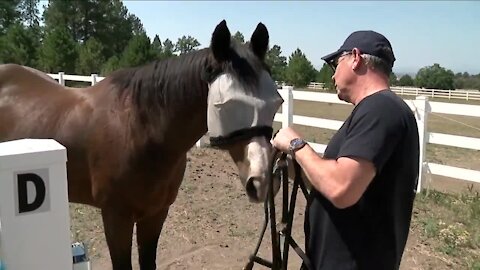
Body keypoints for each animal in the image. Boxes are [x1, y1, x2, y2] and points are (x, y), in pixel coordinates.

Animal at [0, 21, 284, 270]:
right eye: (224, 106)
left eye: (276, 103)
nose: (260, 182)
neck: (138, 130)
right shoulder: (116, 218)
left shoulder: (155, 214)